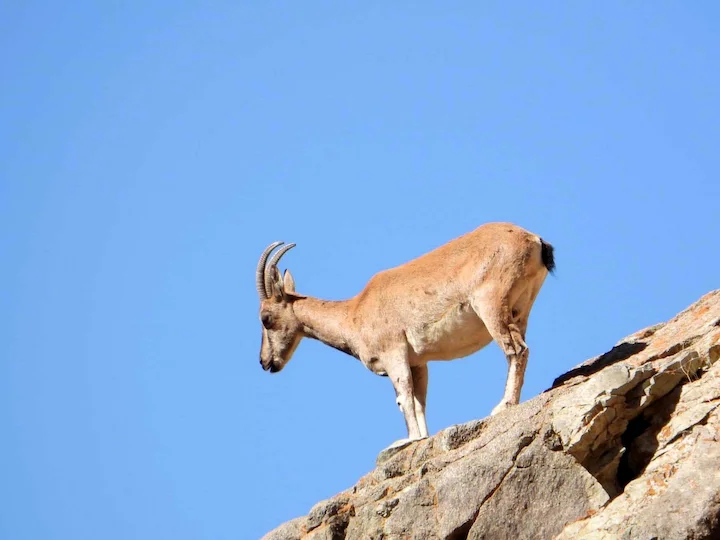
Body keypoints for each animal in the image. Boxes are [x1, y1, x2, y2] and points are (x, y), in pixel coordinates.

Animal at [256, 222, 555, 446]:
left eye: (265, 319)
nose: (265, 362)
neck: (354, 313)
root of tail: (533, 239)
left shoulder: (394, 352)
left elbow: (403, 396)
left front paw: (405, 441)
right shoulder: (418, 362)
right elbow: (419, 401)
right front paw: (421, 437)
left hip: (490, 305)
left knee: (516, 349)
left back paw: (504, 406)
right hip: (519, 310)